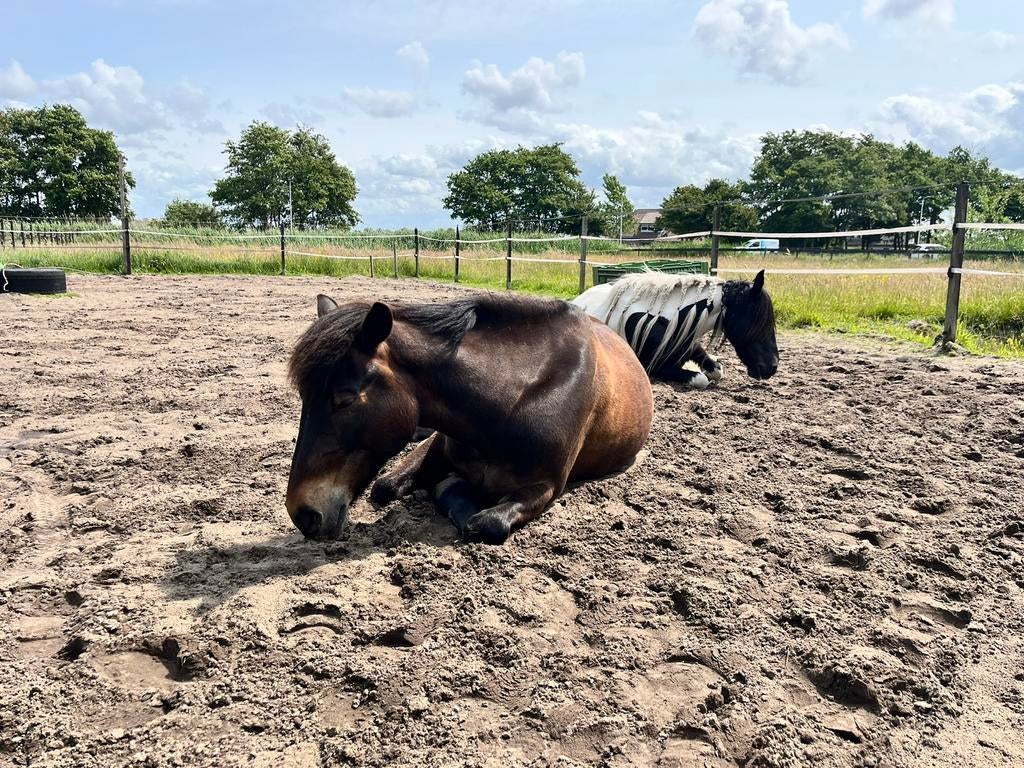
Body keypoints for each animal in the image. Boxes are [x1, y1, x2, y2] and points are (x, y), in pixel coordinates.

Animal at [285, 291, 654, 545]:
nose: (302, 513)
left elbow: (485, 524)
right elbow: (388, 486)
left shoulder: (546, 487)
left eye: (345, 398)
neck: (511, 403)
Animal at [571, 270, 779, 387]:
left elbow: (716, 370)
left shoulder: (690, 346)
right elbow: (700, 379)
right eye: (758, 322)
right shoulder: (652, 366)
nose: (773, 366)